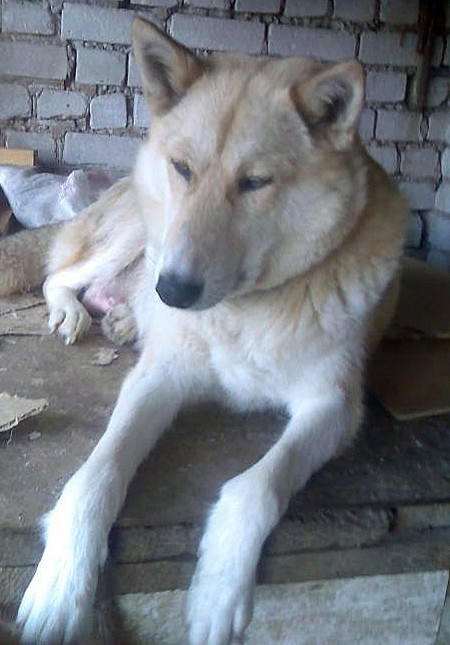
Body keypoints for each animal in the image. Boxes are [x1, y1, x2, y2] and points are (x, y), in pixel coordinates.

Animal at [11, 16, 406, 644]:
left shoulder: (334, 405)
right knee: (59, 274)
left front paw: (218, 591)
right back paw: (76, 311)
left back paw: (124, 316)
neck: (243, 311)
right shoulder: (158, 378)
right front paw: (61, 584)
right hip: (140, 234)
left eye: (255, 182)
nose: (171, 291)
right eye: (183, 169)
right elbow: (93, 477)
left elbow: (255, 487)